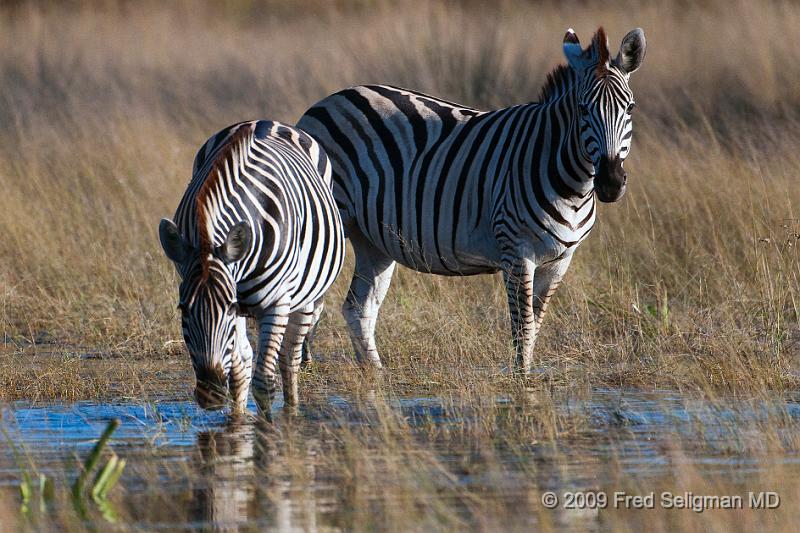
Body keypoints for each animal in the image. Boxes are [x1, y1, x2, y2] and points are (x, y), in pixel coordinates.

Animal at [157, 120, 344, 412]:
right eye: (182, 309)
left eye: (228, 307)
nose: (211, 396)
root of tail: (267, 122)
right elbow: (239, 373)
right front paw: (237, 420)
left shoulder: (275, 304)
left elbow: (264, 382)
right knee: (246, 362)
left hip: (306, 296)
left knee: (289, 360)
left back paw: (293, 410)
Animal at [296, 27, 648, 372]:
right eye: (582, 109)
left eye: (630, 108)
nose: (610, 183)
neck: (570, 181)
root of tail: (326, 102)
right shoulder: (516, 251)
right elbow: (523, 326)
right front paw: (522, 385)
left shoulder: (561, 260)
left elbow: (535, 325)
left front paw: (528, 379)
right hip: (332, 222)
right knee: (310, 299)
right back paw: (306, 372)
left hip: (374, 239)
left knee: (358, 307)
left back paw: (375, 377)